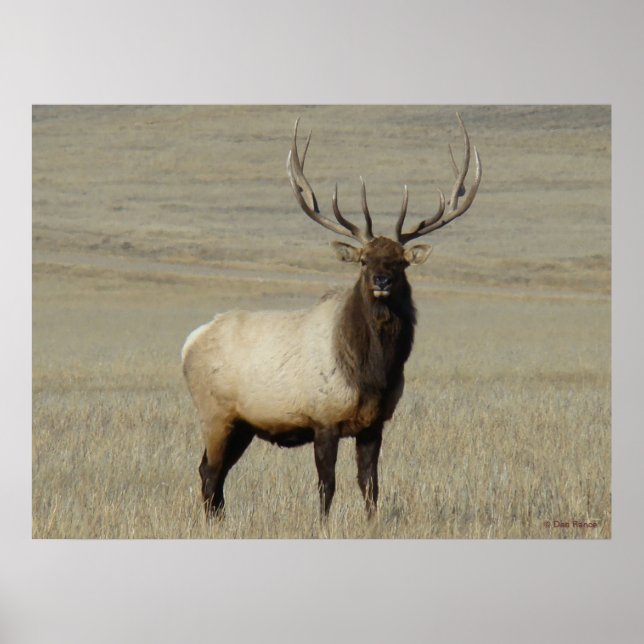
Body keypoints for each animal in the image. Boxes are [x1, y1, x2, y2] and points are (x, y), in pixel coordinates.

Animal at [181, 113, 481, 520]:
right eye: (364, 260)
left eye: (400, 262)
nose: (382, 280)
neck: (373, 373)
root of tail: (188, 343)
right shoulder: (323, 419)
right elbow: (327, 487)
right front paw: (323, 525)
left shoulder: (374, 423)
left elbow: (370, 485)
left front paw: (371, 524)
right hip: (214, 413)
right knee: (209, 472)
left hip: (242, 424)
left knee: (214, 473)